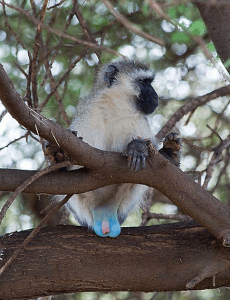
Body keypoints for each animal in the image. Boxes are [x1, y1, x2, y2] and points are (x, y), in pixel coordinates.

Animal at [49, 58, 181, 237]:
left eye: (149, 82)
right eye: (142, 82)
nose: (155, 96)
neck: (117, 108)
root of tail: (105, 213)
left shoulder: (139, 120)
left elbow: (150, 148)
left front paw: (138, 146)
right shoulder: (88, 112)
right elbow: (76, 155)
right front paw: (60, 154)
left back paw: (170, 154)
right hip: (80, 202)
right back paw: (56, 158)